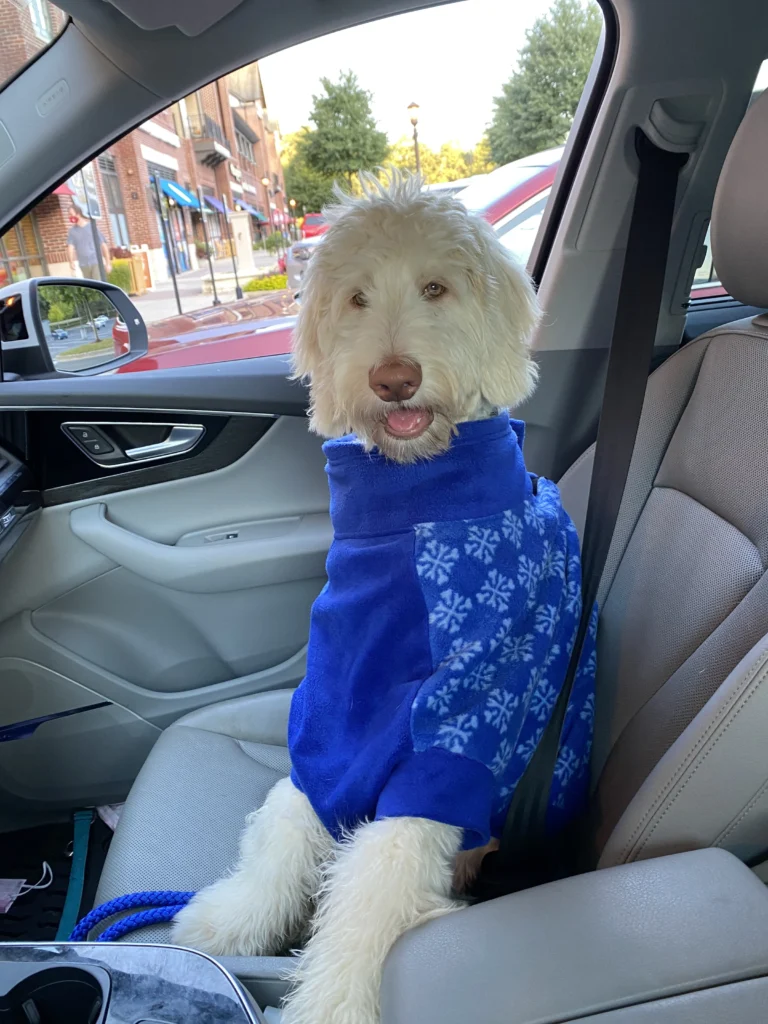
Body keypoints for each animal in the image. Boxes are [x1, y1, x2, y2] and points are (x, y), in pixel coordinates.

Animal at [174, 174, 593, 1024]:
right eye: (357, 298)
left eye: (436, 288)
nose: (392, 377)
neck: (414, 509)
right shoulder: (332, 723)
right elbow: (286, 833)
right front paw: (229, 922)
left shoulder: (450, 743)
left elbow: (370, 894)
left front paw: (329, 1005)